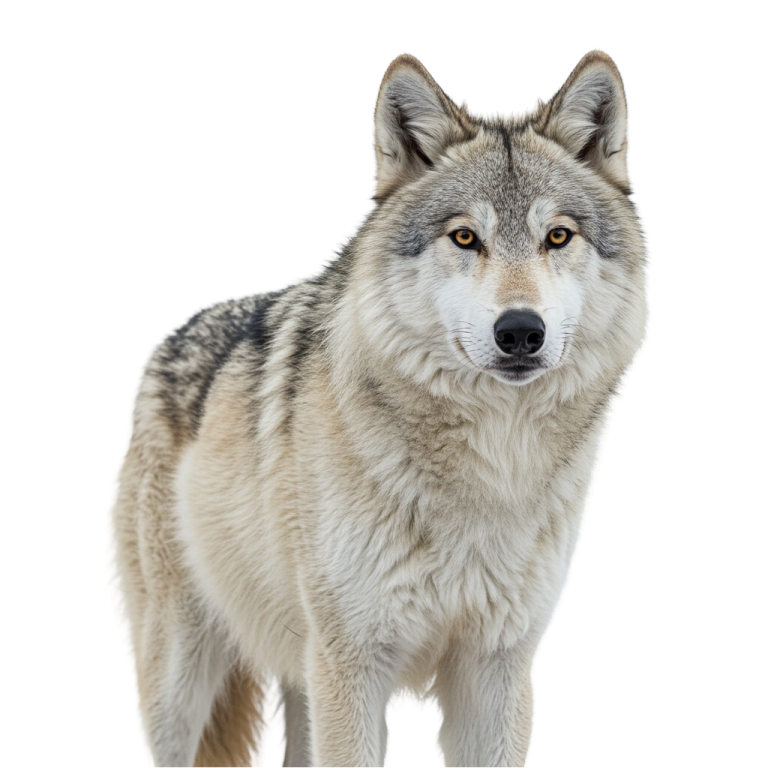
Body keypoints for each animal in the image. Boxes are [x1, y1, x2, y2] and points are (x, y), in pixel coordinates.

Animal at [106, 48, 652, 767]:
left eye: (557, 236)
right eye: (465, 238)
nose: (519, 331)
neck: (490, 473)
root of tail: (166, 340)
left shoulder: (497, 673)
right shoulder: (354, 666)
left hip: (297, 684)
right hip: (183, 688)